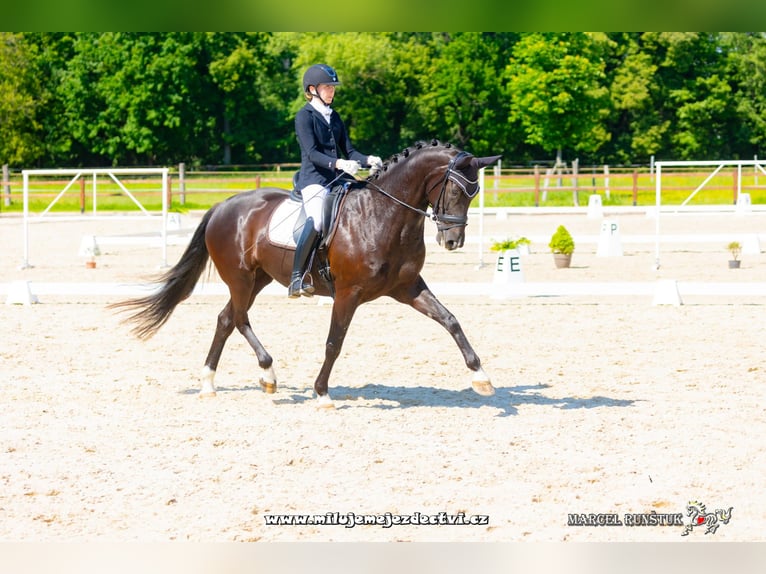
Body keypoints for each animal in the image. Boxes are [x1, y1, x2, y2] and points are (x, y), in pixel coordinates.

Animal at [111, 141, 500, 410]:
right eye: (454, 189)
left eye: (475, 192)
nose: (452, 241)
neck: (384, 215)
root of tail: (224, 205)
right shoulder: (348, 293)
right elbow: (334, 342)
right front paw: (322, 393)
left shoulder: (407, 287)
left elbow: (450, 320)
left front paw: (481, 377)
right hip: (240, 278)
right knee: (238, 317)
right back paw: (261, 374)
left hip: (259, 278)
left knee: (226, 319)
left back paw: (216, 381)